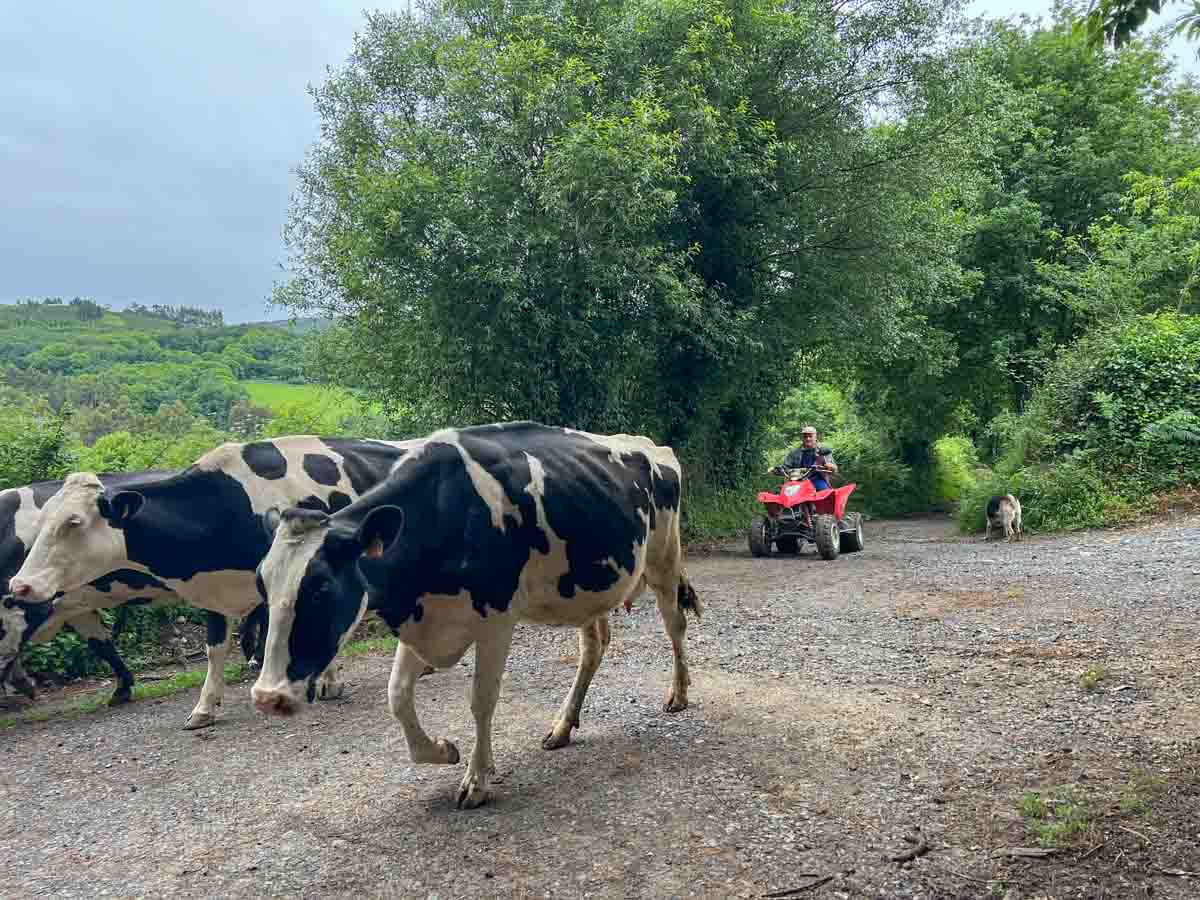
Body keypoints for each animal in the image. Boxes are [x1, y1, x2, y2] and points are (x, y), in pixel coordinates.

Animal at [8, 436, 419, 728]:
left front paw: (323, 681)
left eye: (73, 522)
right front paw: (204, 708)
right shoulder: (219, 594)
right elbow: (215, 649)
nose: (19, 585)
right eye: (41, 521)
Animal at [250, 421, 701, 809]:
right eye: (262, 582)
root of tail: (650, 445)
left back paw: (678, 694)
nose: (268, 696)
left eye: (322, 587)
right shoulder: (421, 616)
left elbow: (482, 700)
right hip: (587, 587)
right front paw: (442, 750)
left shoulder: (496, 619)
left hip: (663, 559)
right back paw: (563, 725)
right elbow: (397, 696)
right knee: (594, 648)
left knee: (674, 625)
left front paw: (477, 779)